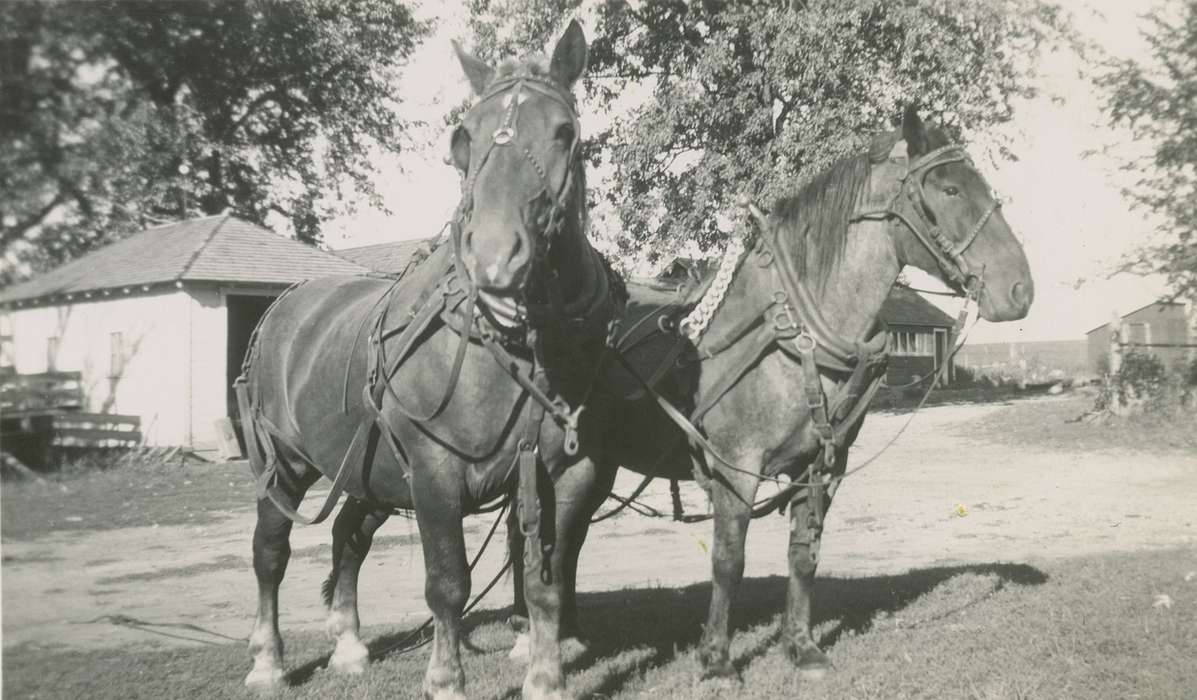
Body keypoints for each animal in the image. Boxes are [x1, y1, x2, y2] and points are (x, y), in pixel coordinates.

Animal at [234, 21, 627, 698]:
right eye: (463, 139)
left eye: (563, 132)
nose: (494, 258)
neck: (510, 349)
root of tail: (286, 304)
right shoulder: (434, 472)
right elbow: (447, 584)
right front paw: (445, 678)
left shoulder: (570, 476)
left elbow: (547, 582)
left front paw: (545, 675)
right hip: (282, 464)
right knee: (271, 552)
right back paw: (268, 661)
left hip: (366, 472)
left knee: (348, 538)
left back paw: (348, 646)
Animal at [507, 106, 1038, 679]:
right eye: (949, 188)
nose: (1020, 289)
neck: (793, 331)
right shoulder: (736, 465)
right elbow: (729, 559)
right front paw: (717, 659)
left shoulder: (824, 465)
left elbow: (803, 555)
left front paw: (801, 646)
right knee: (531, 538)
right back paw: (528, 634)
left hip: (596, 465)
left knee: (567, 544)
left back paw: (566, 631)